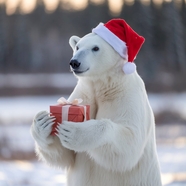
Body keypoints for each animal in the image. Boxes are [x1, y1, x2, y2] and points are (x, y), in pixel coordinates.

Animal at [30, 19, 161, 186]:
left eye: (96, 48)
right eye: (78, 47)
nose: (74, 62)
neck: (104, 85)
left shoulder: (127, 96)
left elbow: (130, 141)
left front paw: (76, 132)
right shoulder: (85, 92)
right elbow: (65, 155)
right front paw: (42, 122)